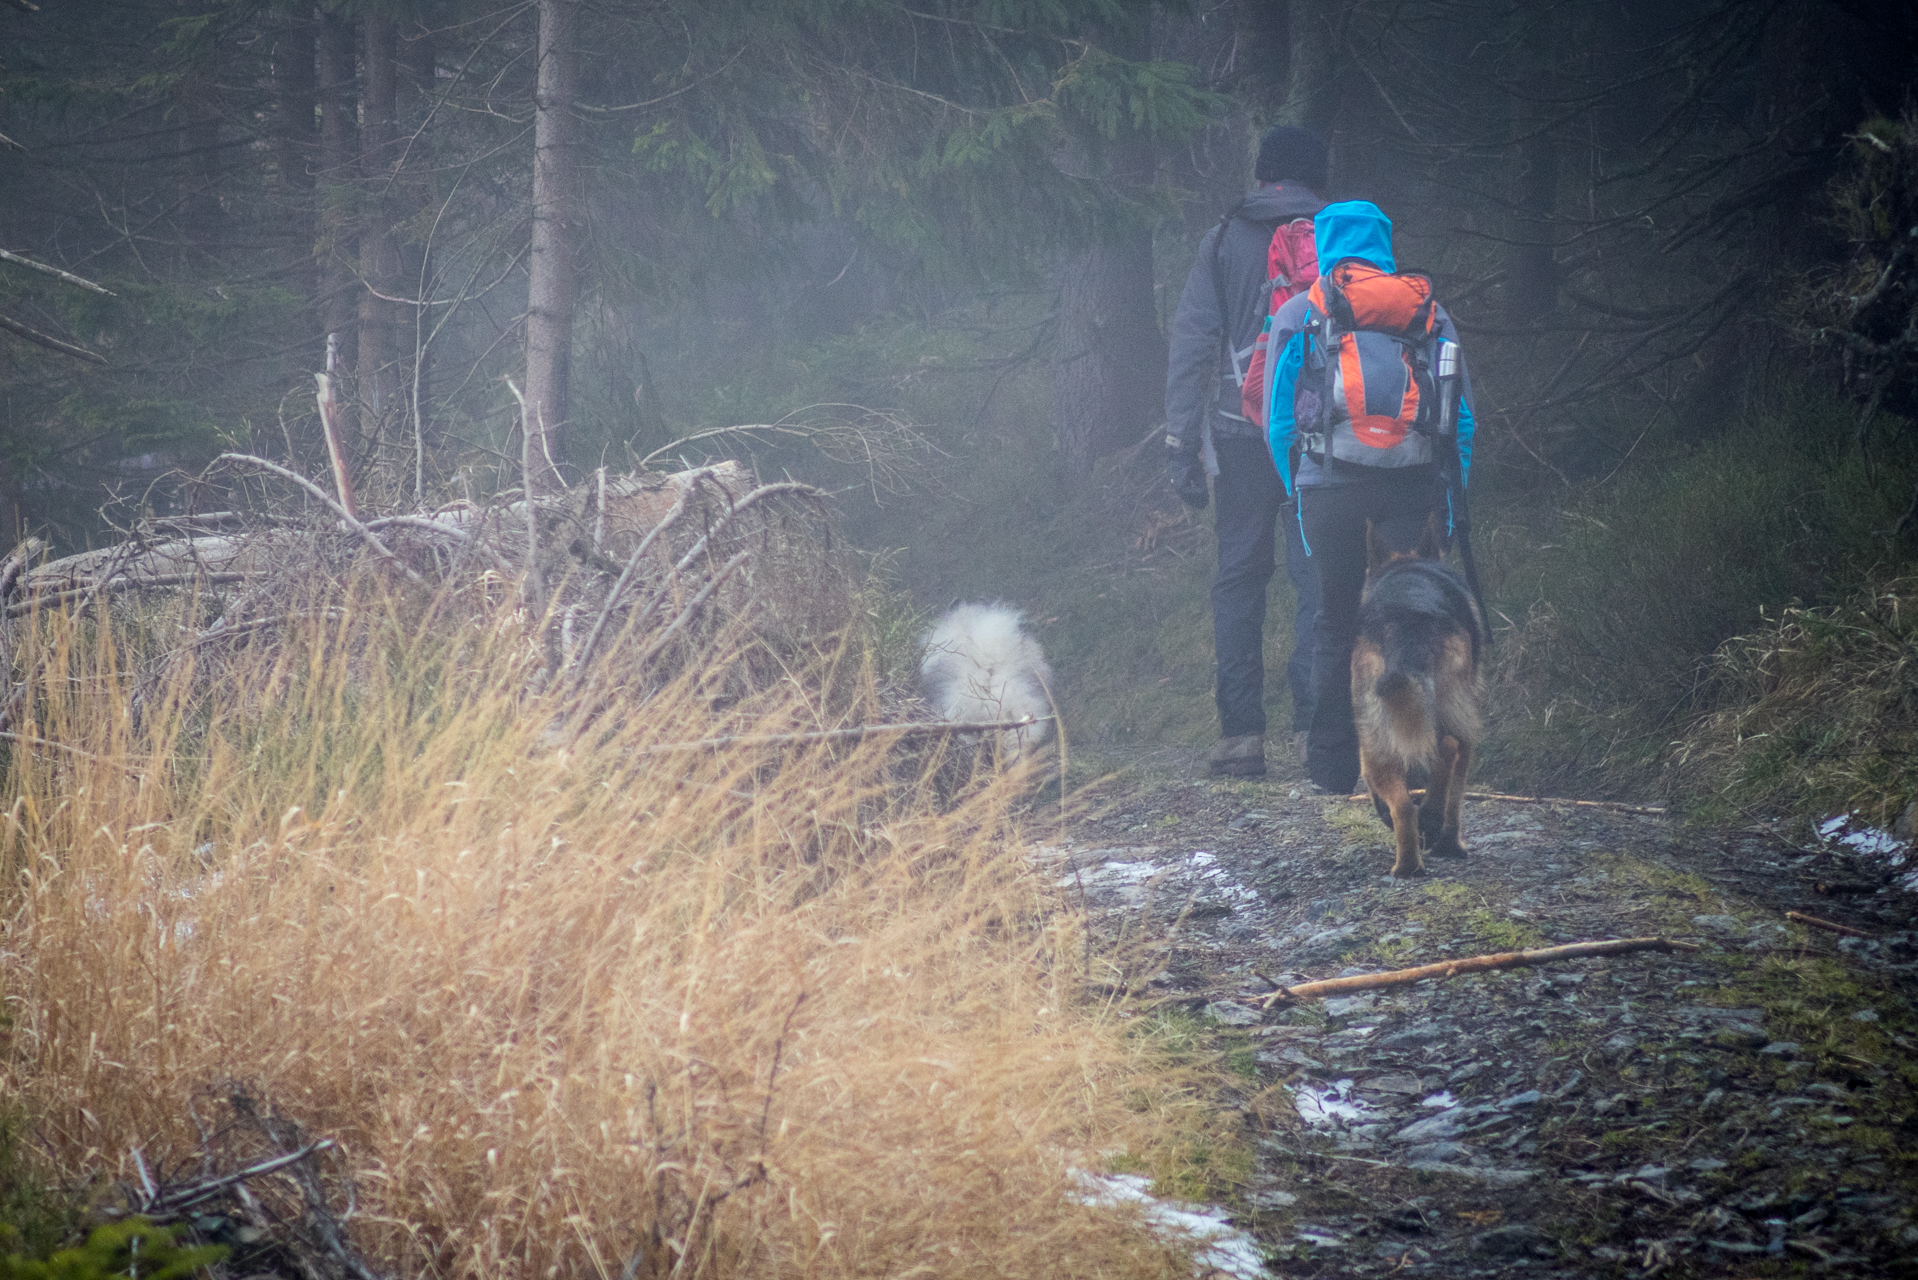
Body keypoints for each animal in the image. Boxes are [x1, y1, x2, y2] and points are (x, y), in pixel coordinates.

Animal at [1350, 514, 1480, 882]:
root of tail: (1403, 616)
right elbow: (1457, 793)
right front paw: (1451, 843)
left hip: (1376, 735)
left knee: (1403, 806)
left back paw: (1407, 863)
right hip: (1448, 712)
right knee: (1446, 749)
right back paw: (1431, 821)